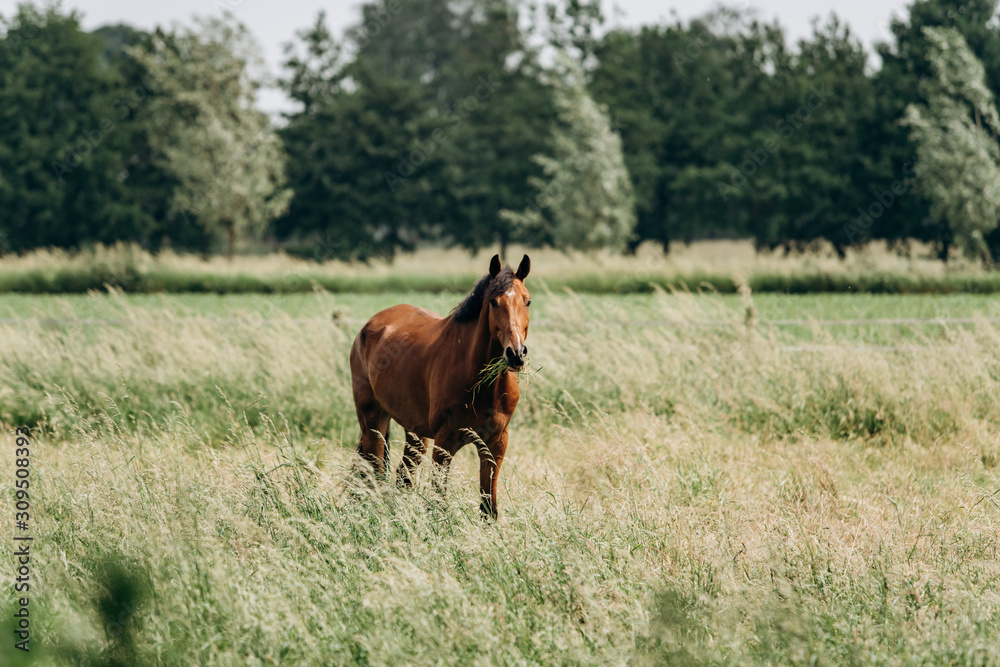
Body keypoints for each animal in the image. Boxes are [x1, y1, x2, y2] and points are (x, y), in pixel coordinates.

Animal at [349, 254, 531, 520]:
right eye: (494, 303)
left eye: (527, 301)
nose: (516, 354)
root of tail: (370, 325)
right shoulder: (445, 441)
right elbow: (437, 500)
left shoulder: (496, 442)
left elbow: (489, 507)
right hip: (373, 420)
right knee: (375, 471)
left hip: (415, 432)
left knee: (402, 476)